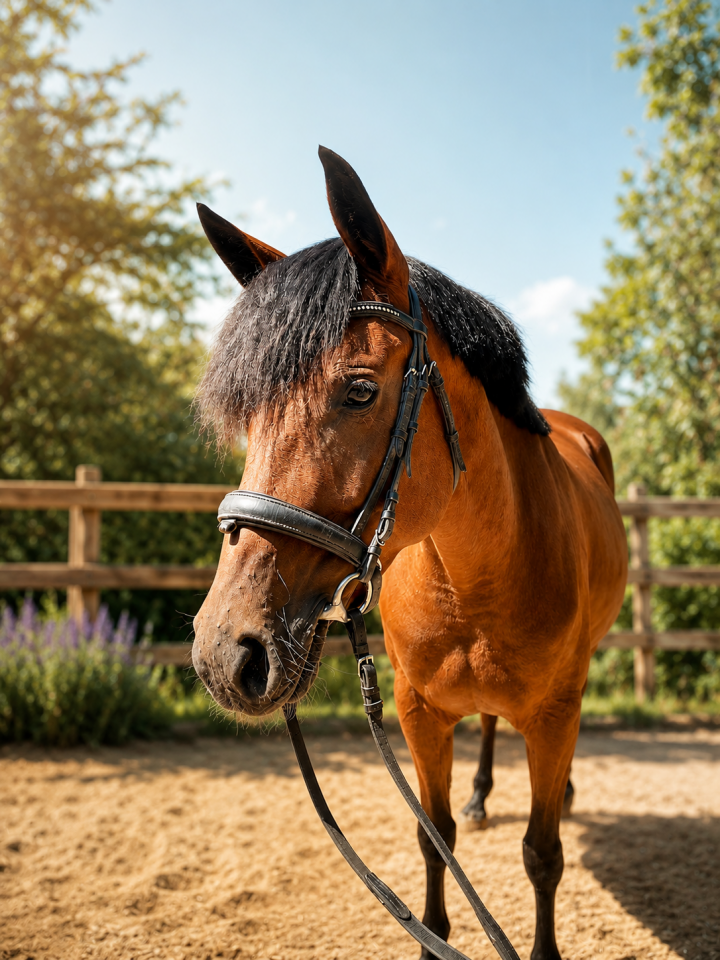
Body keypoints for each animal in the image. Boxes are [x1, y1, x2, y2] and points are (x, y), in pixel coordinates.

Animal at [192, 146, 628, 960]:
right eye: (252, 413)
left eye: (361, 390)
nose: (224, 652)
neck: (478, 574)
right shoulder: (418, 710)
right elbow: (436, 837)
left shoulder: (555, 713)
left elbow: (542, 854)